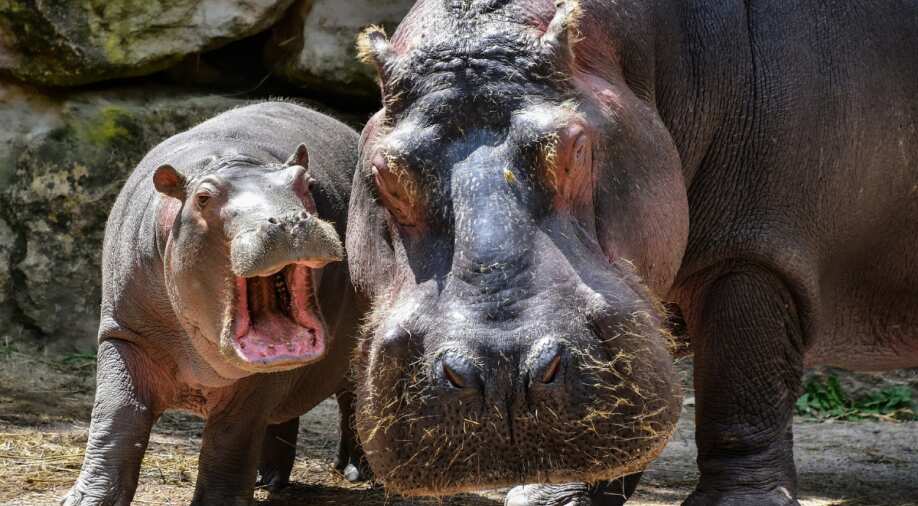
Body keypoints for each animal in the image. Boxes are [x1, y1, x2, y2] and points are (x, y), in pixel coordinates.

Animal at [64, 102, 367, 505]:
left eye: (306, 183)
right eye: (203, 197)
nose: (289, 221)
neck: (230, 161)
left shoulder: (256, 382)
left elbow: (231, 437)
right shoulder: (124, 335)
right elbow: (117, 415)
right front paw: (87, 500)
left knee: (353, 398)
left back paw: (356, 471)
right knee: (283, 417)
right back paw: (268, 480)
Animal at [346, 1, 918, 505]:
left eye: (576, 145)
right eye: (385, 172)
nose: (502, 370)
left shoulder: (754, 251)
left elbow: (742, 385)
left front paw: (737, 503)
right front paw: (552, 497)